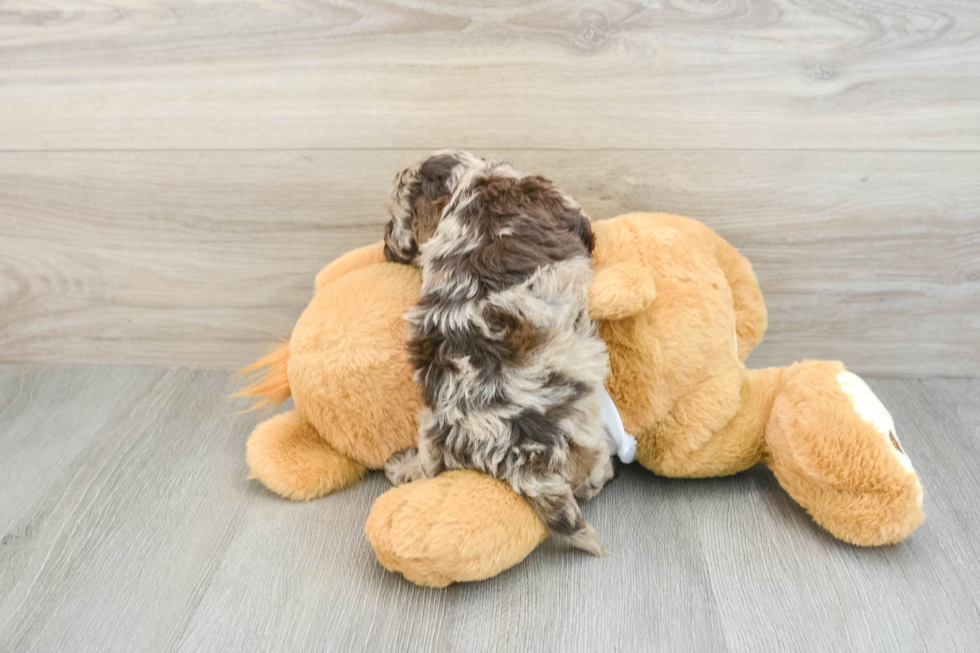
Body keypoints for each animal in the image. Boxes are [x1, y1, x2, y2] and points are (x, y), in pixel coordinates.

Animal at [382, 149, 612, 556]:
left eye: (394, 220)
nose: (382, 245)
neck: (470, 177)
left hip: (430, 427)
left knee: (428, 466)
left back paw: (402, 467)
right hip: (579, 415)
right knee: (588, 469)